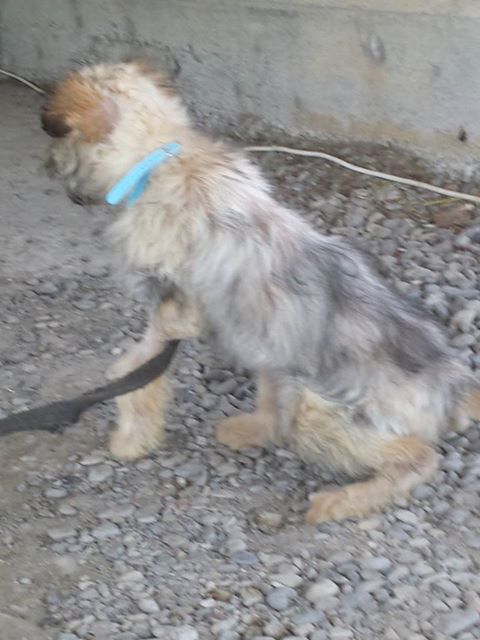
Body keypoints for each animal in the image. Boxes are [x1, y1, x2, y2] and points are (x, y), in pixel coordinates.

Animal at [41, 61, 480, 523]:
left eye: (57, 138)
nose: (46, 165)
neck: (161, 158)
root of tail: (457, 388)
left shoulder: (172, 307)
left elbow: (134, 370)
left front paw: (130, 438)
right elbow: (135, 370)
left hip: (325, 410)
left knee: (418, 458)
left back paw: (343, 500)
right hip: (275, 360)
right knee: (274, 415)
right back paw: (246, 429)